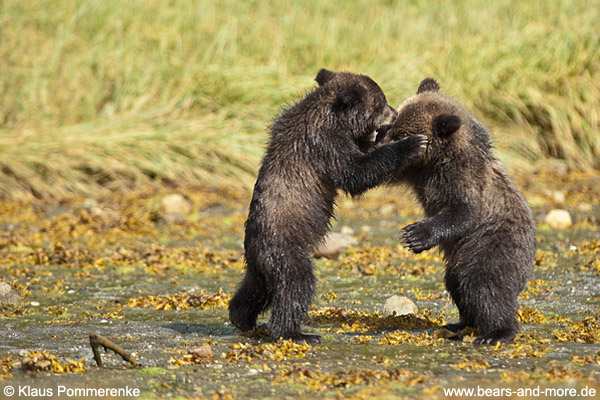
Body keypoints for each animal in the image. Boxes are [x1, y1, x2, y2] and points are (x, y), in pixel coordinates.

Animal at [227, 69, 428, 344]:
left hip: (259, 265)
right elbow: (356, 171)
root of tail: (254, 249)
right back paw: (295, 333)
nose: (394, 112)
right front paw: (411, 143)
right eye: (380, 102)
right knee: (295, 285)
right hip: (286, 248)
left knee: (256, 290)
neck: (333, 117)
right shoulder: (324, 143)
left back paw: (241, 317)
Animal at [378, 78, 536, 344]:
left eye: (400, 133)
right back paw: (460, 322)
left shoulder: (463, 178)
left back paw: (497, 333)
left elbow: (464, 212)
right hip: (460, 260)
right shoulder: (415, 171)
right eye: (392, 126)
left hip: (492, 247)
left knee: (485, 285)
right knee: (456, 284)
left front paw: (414, 235)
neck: (437, 159)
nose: (381, 142)